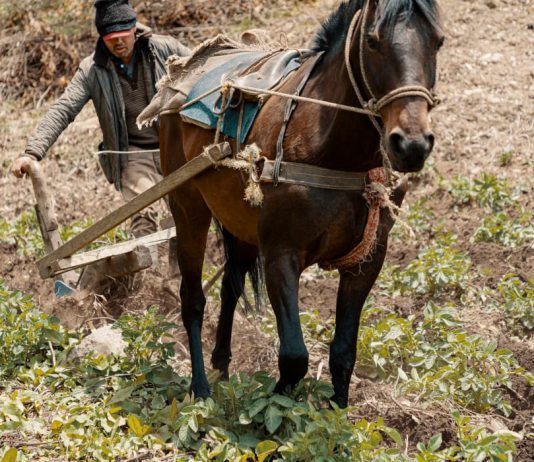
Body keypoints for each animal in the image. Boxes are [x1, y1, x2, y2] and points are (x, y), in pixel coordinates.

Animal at [158, 0, 444, 406]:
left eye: (438, 41)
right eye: (372, 42)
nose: (412, 144)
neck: (333, 149)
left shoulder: (367, 261)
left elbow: (343, 352)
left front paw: (335, 412)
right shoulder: (281, 256)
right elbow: (294, 356)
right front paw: (275, 406)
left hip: (239, 224)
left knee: (231, 286)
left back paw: (222, 368)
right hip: (188, 209)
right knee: (193, 299)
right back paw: (200, 388)